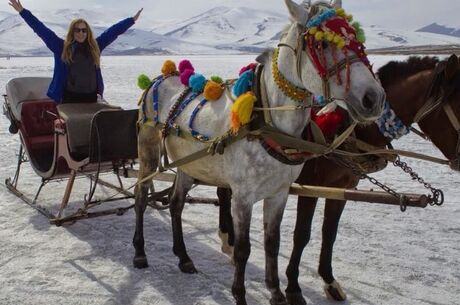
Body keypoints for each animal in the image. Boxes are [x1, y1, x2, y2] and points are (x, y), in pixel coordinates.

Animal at [133, 0, 384, 304]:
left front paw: (276, 292)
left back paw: (183, 257)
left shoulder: (279, 192)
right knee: (141, 197)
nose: (374, 98)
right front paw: (240, 294)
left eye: (359, 39)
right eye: (323, 44)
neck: (266, 119)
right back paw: (139, 252)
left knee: (176, 204)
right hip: (147, 151)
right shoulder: (243, 196)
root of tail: (160, 77)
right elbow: (243, 250)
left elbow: (272, 243)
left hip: (188, 165)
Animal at [217, 54, 460, 304]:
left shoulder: (341, 189)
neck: (347, 132)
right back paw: (229, 239)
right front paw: (293, 287)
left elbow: (329, 233)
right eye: (459, 106)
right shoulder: (310, 188)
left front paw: (329, 281)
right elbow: (302, 235)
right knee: (224, 194)